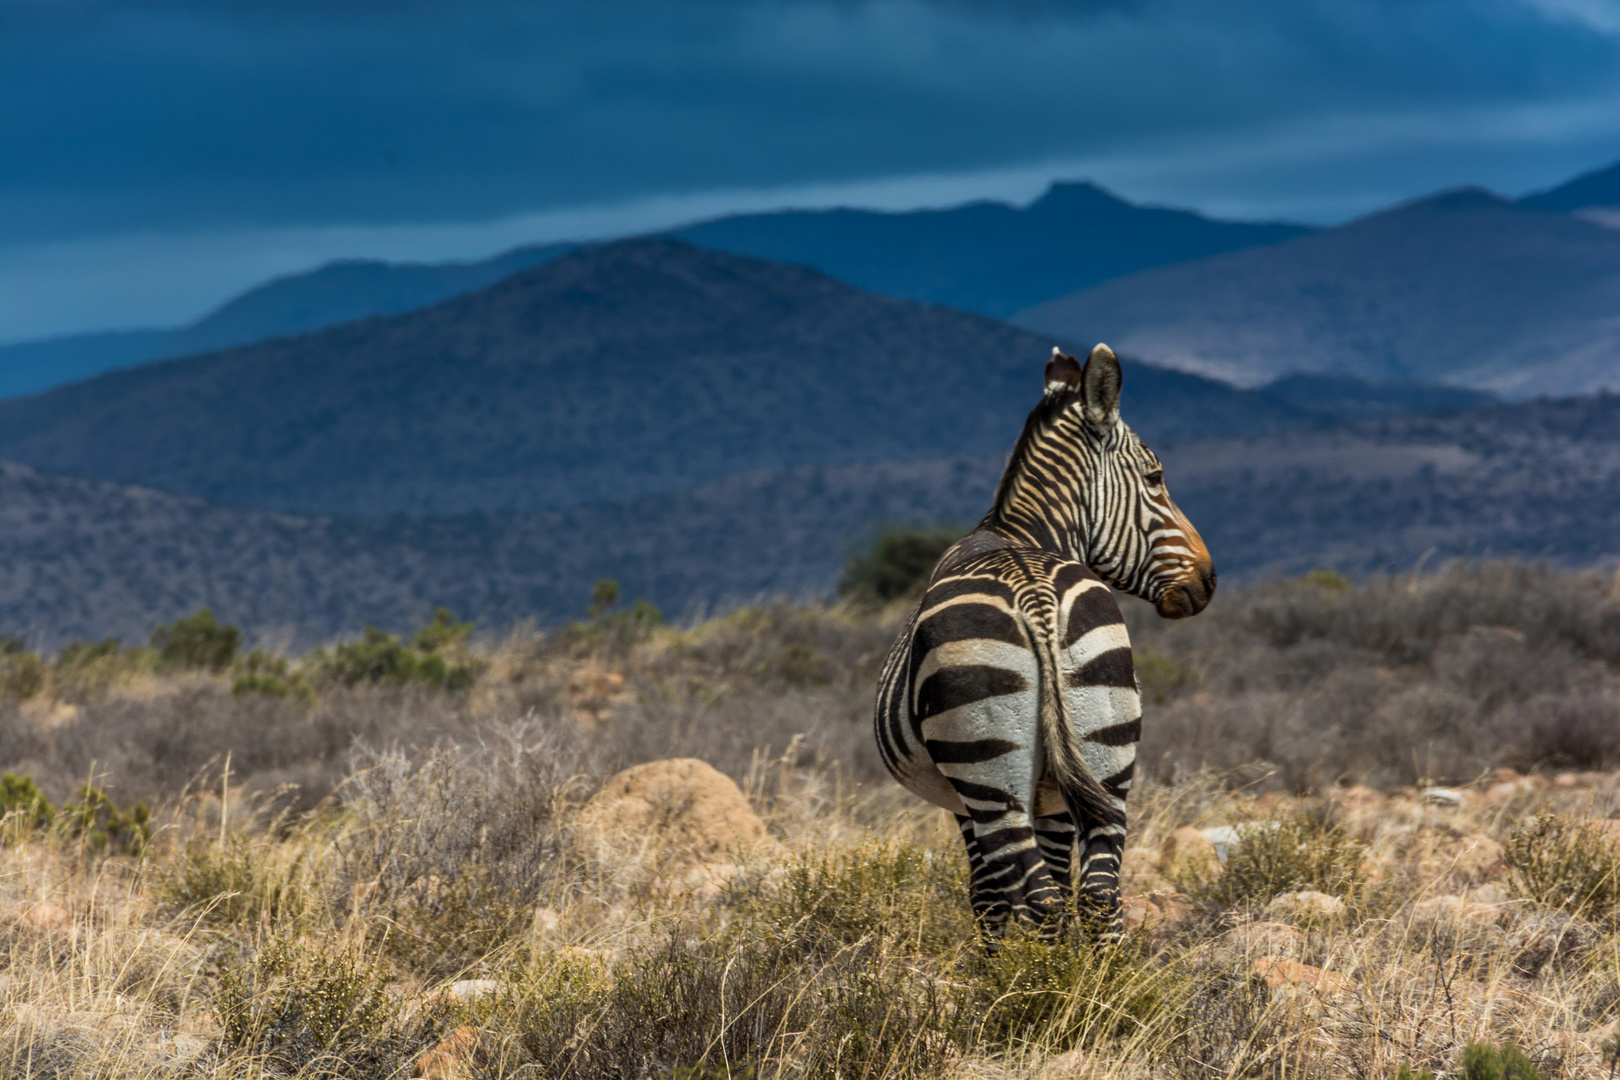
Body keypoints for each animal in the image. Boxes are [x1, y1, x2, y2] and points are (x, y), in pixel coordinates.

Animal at [874, 344, 1218, 939]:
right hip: (1106, 754)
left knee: (1039, 903)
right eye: (1155, 477)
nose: (1209, 578)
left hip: (992, 779)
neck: (1023, 533)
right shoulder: (1056, 796)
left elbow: (988, 898)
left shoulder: (967, 804)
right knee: (1097, 894)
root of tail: (1033, 596)